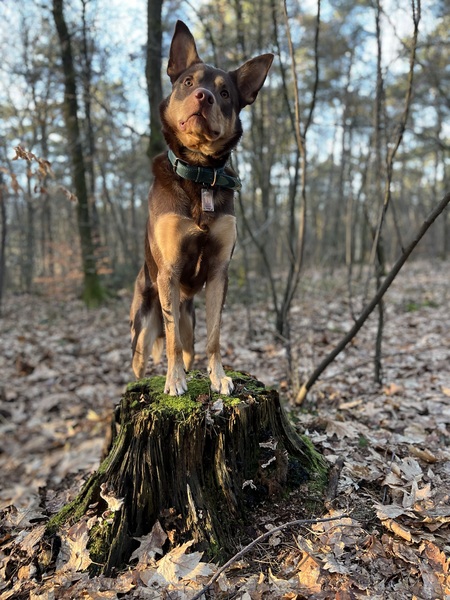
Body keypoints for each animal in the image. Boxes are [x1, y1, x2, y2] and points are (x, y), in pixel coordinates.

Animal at [128, 19, 272, 394]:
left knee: (189, 346)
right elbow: (172, 341)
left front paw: (218, 377)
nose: (203, 96)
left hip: (189, 316)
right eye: (188, 82)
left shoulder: (220, 271)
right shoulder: (169, 271)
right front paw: (174, 382)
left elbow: (215, 335)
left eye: (225, 94)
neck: (200, 173)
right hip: (142, 324)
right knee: (144, 357)